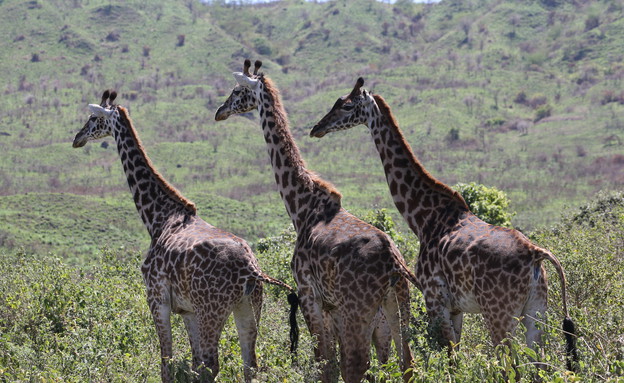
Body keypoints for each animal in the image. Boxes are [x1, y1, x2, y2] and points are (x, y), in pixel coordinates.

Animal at [72, 91, 298, 383]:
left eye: (93, 118)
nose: (77, 138)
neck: (158, 217)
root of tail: (251, 270)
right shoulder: (188, 309)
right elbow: (193, 363)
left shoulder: (156, 297)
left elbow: (167, 361)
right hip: (250, 305)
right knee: (250, 363)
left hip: (213, 309)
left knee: (214, 364)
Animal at [216, 60, 420, 383]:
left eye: (237, 91)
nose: (219, 111)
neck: (302, 206)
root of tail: (393, 261)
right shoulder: (330, 305)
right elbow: (330, 364)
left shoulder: (308, 293)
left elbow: (324, 363)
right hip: (398, 302)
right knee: (405, 362)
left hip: (359, 309)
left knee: (357, 365)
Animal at [310, 79, 576, 372]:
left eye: (346, 106)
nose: (316, 128)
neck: (424, 218)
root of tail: (535, 254)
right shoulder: (456, 308)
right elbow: (455, 357)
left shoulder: (434, 300)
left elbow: (451, 359)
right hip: (537, 310)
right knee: (540, 366)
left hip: (500, 313)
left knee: (513, 368)